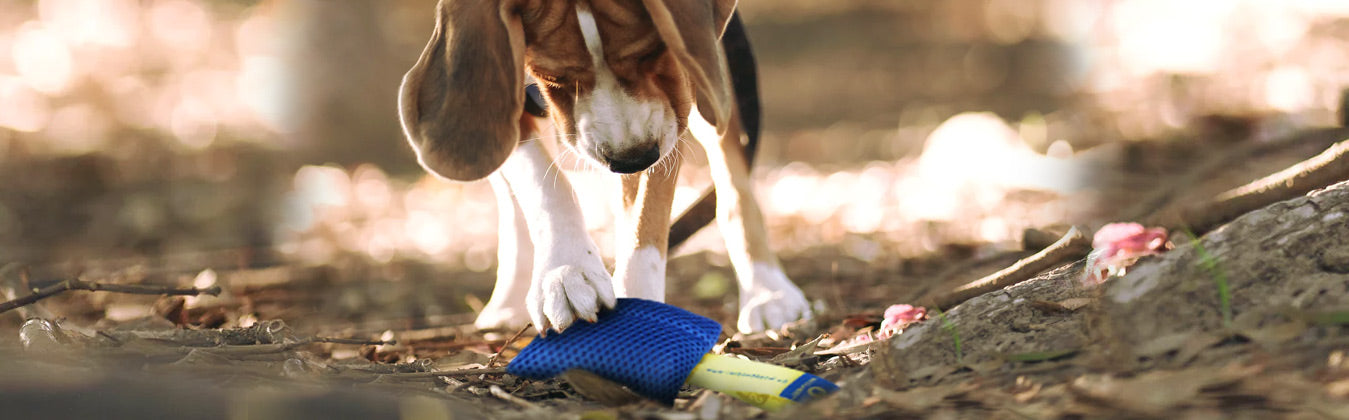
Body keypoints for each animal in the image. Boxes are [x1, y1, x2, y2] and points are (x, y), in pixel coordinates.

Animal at [393, 0, 804, 336]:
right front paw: (567, 268)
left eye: (654, 51)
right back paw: (509, 298)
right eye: (555, 78)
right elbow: (543, 185)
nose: (631, 160)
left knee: (733, 184)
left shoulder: (679, 96)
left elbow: (645, 221)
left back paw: (769, 291)